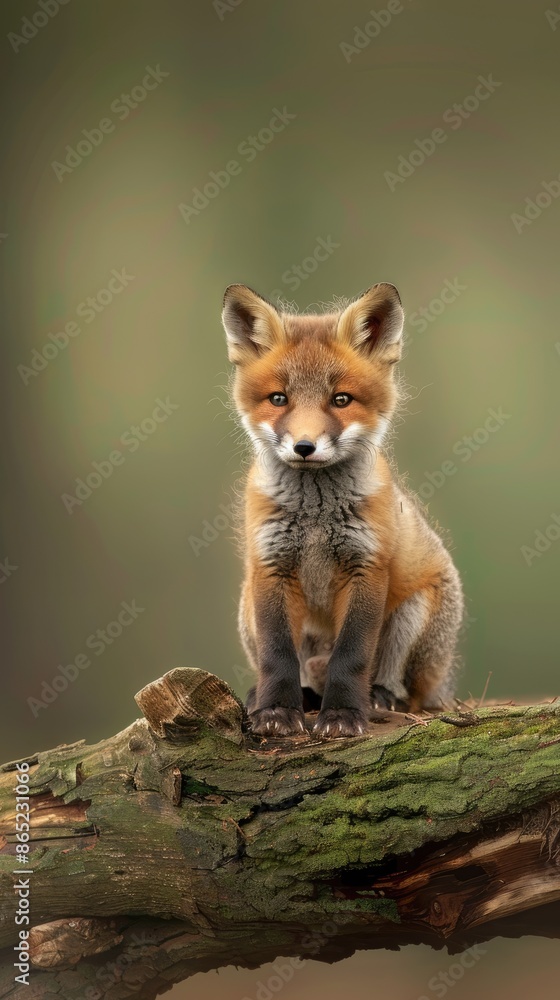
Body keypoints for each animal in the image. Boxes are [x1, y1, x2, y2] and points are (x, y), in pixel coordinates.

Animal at [221, 281, 464, 738]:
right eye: (278, 399)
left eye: (341, 400)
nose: (304, 446)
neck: (315, 516)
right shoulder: (270, 564)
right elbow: (276, 654)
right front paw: (276, 711)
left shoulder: (366, 566)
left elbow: (351, 656)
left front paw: (344, 715)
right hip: (247, 607)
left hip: (414, 617)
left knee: (404, 690)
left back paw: (379, 697)